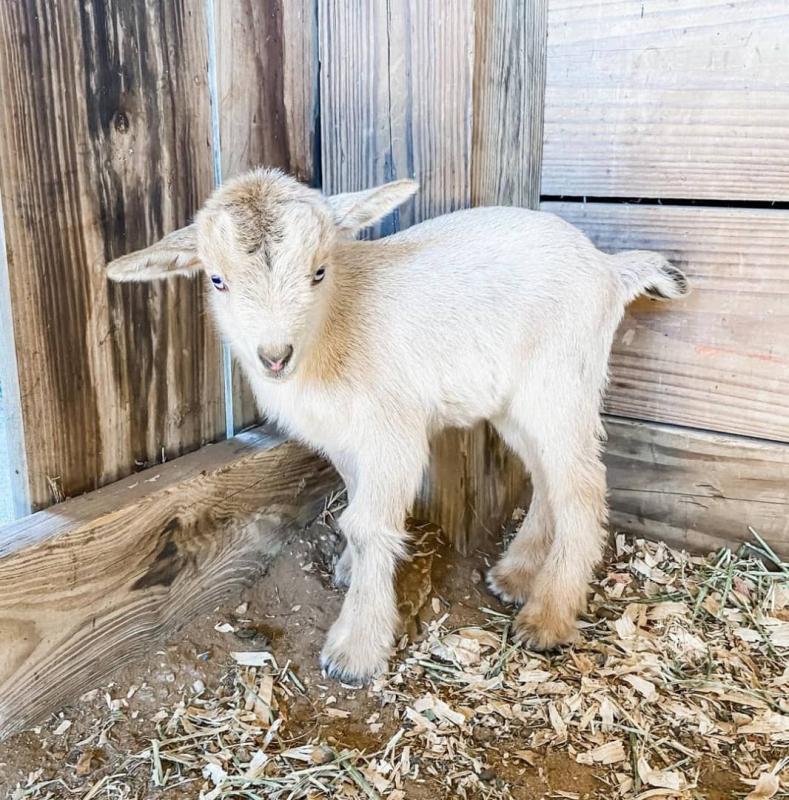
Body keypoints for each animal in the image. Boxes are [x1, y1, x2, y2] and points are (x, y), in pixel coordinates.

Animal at [107, 168, 689, 684]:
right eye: (217, 279)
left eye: (319, 272)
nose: (274, 357)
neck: (334, 328)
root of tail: (608, 268)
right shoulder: (344, 440)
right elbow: (355, 503)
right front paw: (348, 570)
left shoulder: (394, 430)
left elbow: (368, 525)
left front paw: (355, 650)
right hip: (516, 401)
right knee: (548, 477)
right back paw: (516, 574)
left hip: (561, 380)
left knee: (582, 488)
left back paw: (546, 616)